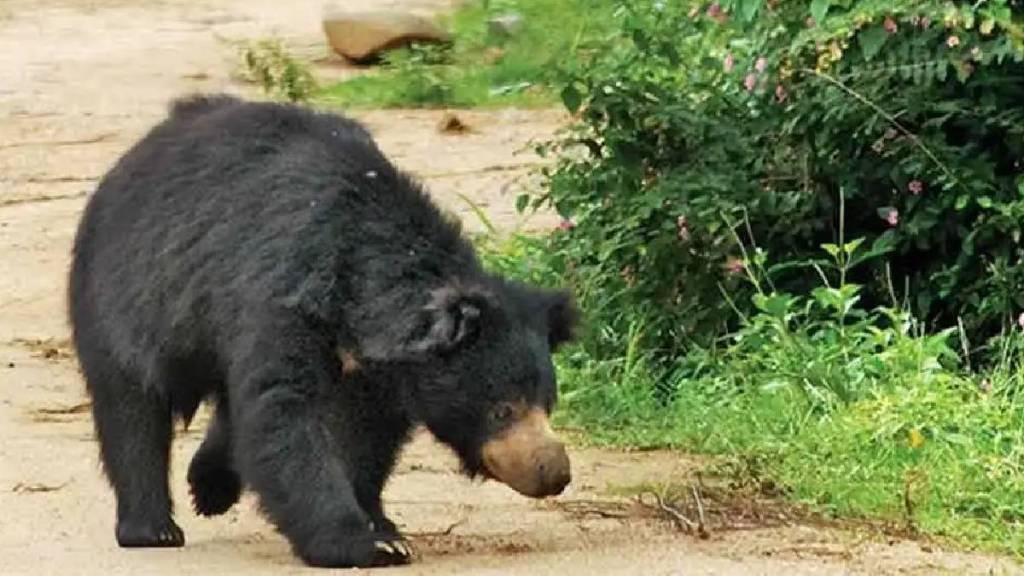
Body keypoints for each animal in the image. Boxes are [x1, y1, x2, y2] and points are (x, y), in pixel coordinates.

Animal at [70, 94, 585, 565]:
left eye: (548, 402)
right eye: (501, 409)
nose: (554, 471)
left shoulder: (381, 375)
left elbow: (367, 438)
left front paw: (383, 527)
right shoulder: (283, 296)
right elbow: (286, 415)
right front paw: (361, 543)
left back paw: (210, 485)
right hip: (126, 291)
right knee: (132, 407)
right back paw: (152, 527)